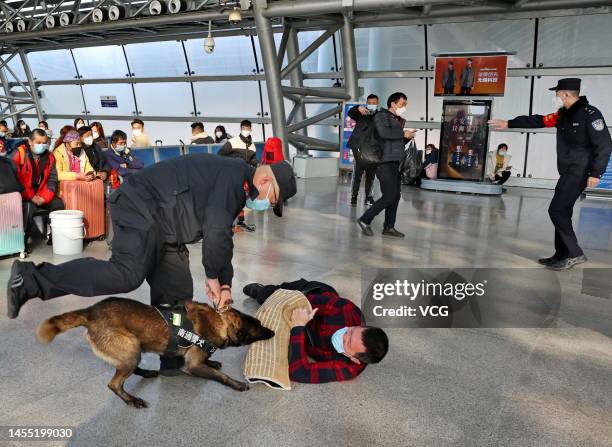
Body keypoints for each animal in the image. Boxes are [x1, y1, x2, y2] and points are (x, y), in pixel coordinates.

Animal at [37, 298, 274, 410]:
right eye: (259, 327)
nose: (273, 332)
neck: (220, 321)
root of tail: (90, 312)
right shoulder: (192, 365)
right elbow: (220, 376)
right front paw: (236, 384)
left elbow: (210, 363)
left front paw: (214, 362)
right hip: (131, 347)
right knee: (114, 384)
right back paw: (131, 400)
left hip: (132, 349)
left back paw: (146, 373)